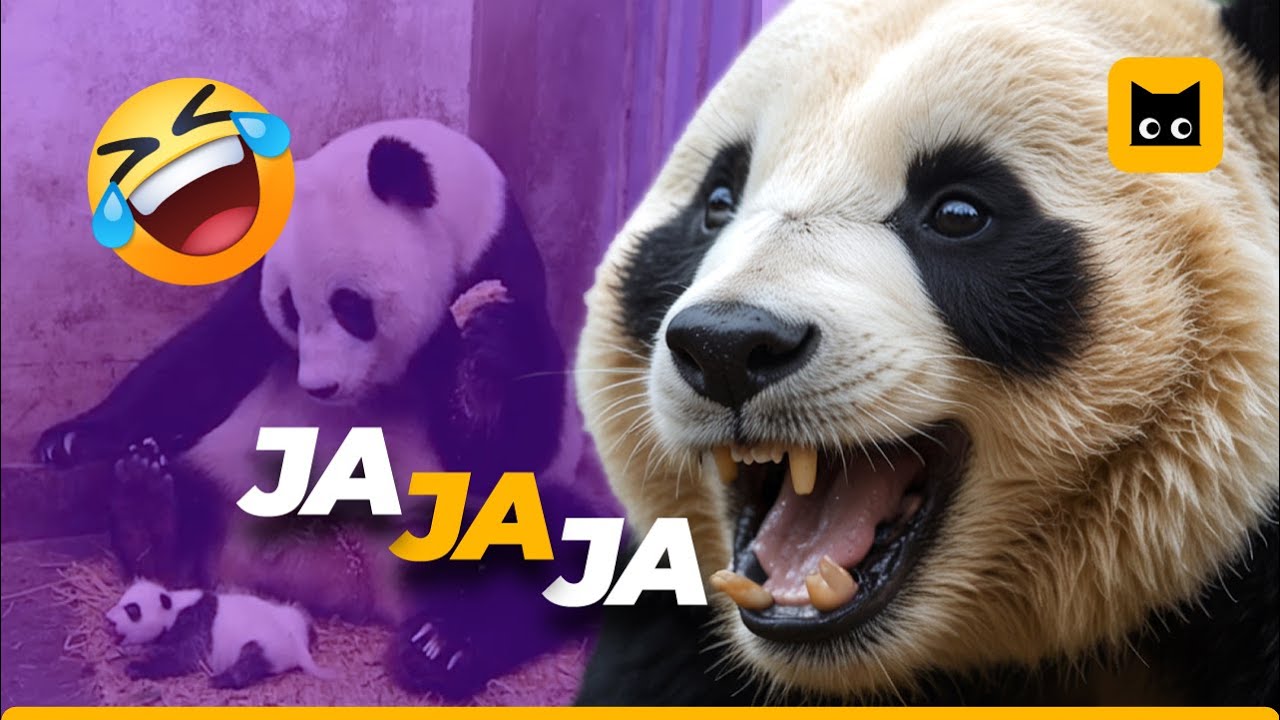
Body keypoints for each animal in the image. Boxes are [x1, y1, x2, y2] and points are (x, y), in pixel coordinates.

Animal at [106, 578, 332, 689]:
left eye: (132, 610)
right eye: (121, 601)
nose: (109, 620)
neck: (174, 608)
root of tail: (300, 647)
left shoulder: (193, 626)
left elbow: (182, 658)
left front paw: (136, 668)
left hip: (270, 644)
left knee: (250, 660)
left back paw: (220, 680)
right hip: (290, 615)